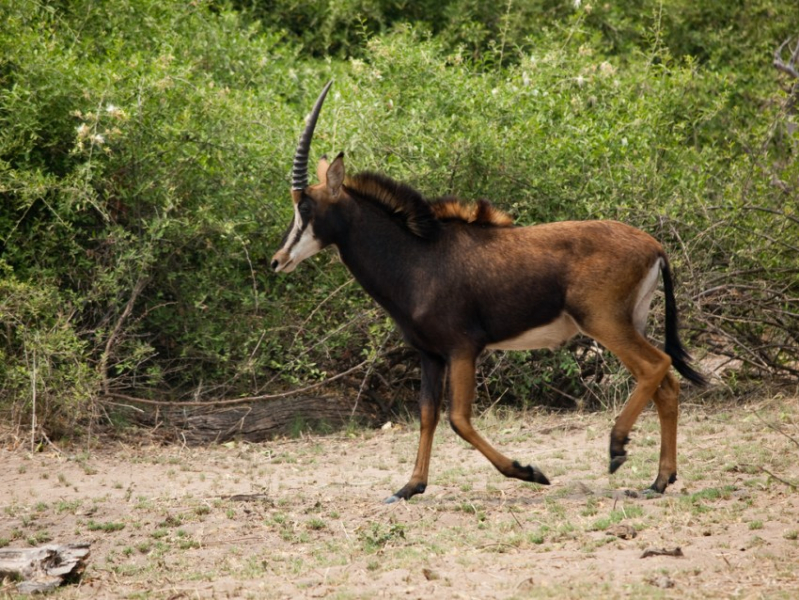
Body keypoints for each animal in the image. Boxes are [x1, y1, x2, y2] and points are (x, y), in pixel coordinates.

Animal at [270, 79, 708, 502]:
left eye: (305, 207)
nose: (278, 260)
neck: (417, 255)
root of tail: (655, 246)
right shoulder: (431, 355)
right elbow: (428, 415)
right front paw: (410, 487)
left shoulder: (463, 348)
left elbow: (458, 419)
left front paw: (529, 472)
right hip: (631, 322)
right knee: (667, 384)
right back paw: (660, 480)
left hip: (604, 322)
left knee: (655, 366)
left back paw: (618, 448)